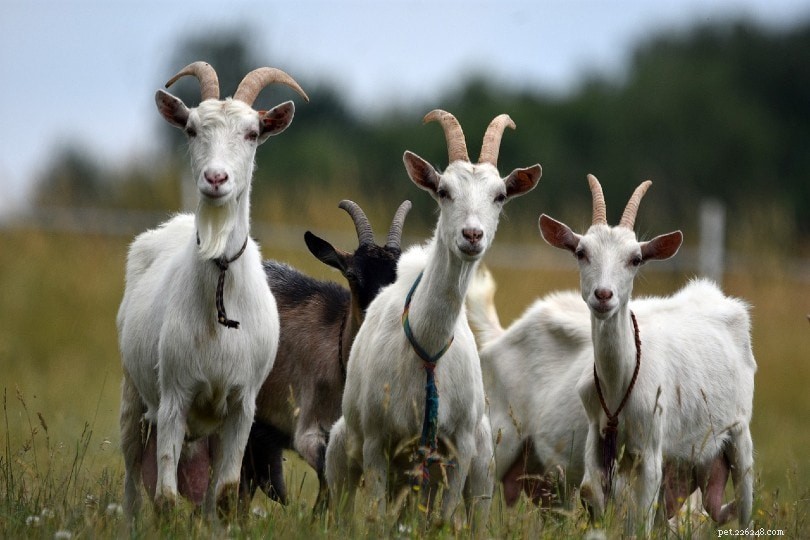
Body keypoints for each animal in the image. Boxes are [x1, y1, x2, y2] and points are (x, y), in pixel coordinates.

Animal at [117, 61, 308, 520]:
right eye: (190, 129)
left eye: (253, 132)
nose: (216, 178)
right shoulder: (174, 395)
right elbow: (166, 498)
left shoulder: (242, 406)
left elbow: (223, 495)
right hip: (134, 395)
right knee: (131, 476)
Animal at [325, 110, 542, 528]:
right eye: (443, 190)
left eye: (499, 195)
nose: (472, 235)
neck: (427, 351)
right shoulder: (377, 443)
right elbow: (377, 518)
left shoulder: (458, 449)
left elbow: (440, 519)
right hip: (347, 452)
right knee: (342, 504)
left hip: (478, 465)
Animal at [539, 174, 756, 532]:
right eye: (581, 252)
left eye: (635, 259)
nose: (603, 295)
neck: (619, 384)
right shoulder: (598, 438)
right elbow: (592, 493)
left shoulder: (650, 447)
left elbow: (638, 519)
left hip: (739, 431)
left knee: (746, 503)